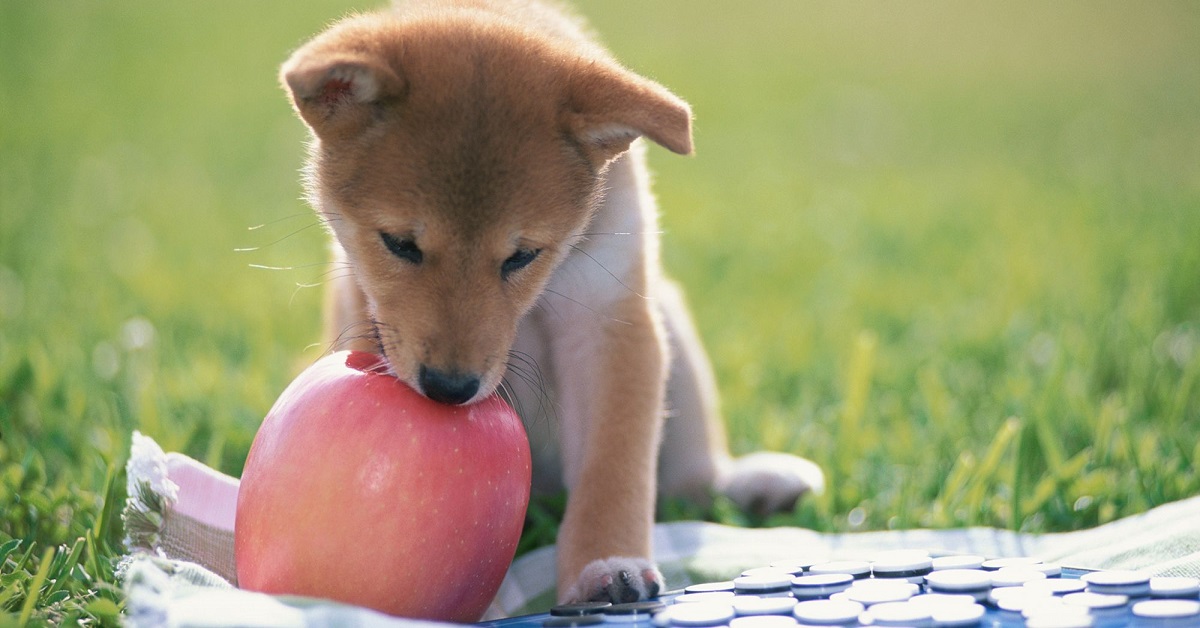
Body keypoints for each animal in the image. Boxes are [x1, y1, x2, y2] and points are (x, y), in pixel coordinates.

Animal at [280, 0, 825, 609]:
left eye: (523, 255)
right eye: (399, 244)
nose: (449, 388)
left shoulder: (606, 321)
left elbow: (613, 468)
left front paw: (606, 566)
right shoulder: (363, 304)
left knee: (689, 480)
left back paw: (756, 485)